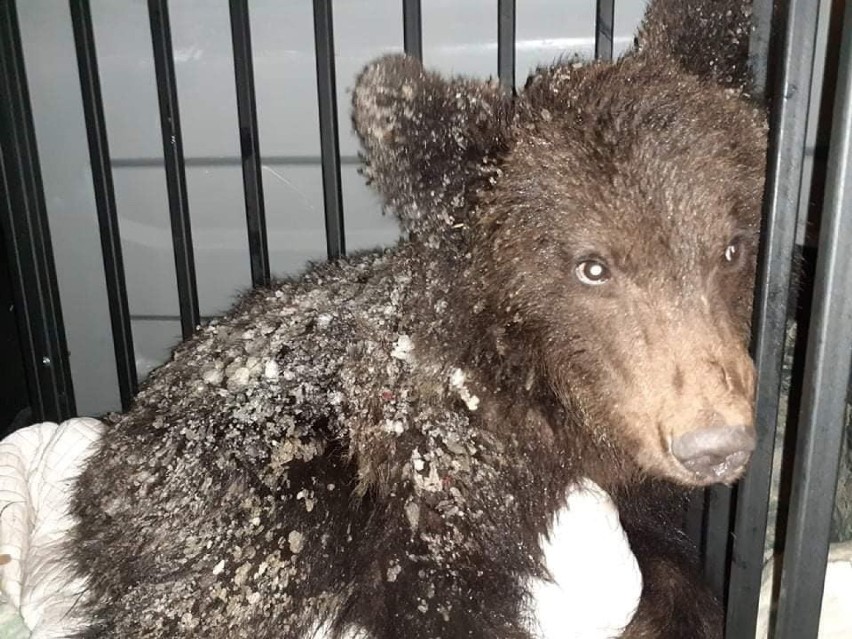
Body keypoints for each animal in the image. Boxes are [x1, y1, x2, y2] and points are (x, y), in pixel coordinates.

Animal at [71, 0, 764, 636]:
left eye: (731, 248)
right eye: (592, 267)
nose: (714, 446)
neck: (545, 401)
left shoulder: (631, 484)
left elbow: (679, 578)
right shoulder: (434, 477)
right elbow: (436, 592)